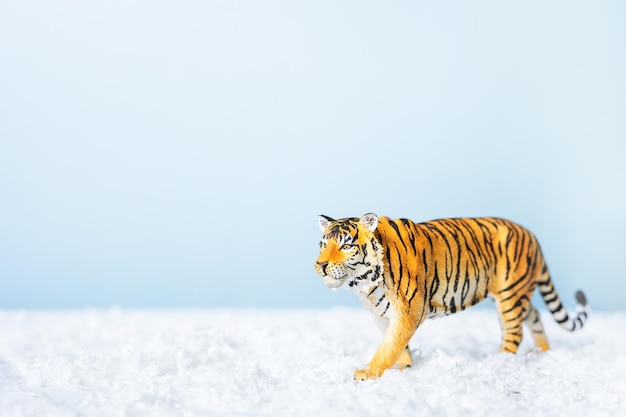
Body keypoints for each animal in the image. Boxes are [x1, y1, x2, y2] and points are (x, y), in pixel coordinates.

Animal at [314, 213, 588, 378]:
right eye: (323, 244)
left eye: (346, 245)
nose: (322, 265)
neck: (364, 284)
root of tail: (532, 236)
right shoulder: (381, 314)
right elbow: (395, 345)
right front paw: (404, 367)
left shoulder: (408, 312)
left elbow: (389, 346)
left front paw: (369, 374)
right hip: (515, 295)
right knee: (534, 316)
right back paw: (543, 352)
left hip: (510, 297)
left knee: (514, 332)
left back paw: (499, 362)